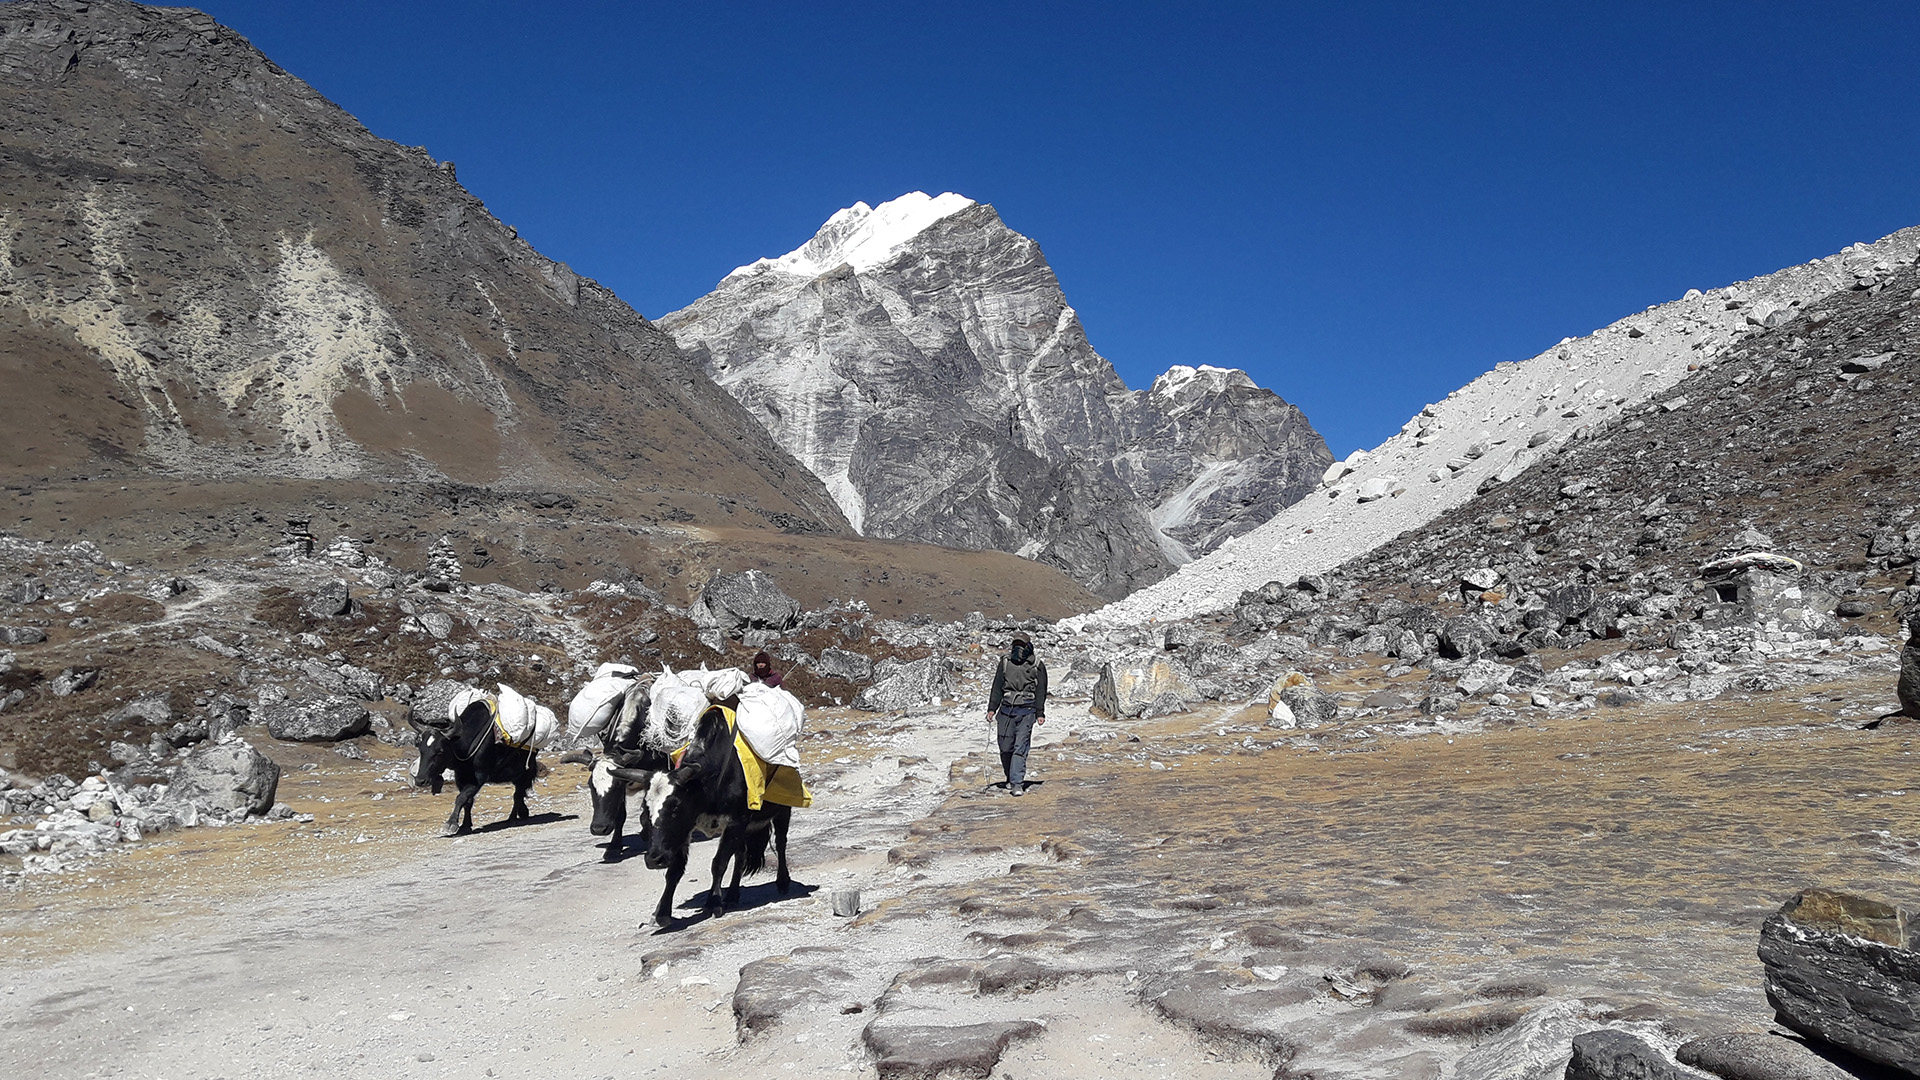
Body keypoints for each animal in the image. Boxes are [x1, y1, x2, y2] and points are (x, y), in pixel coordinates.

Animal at [410, 697, 540, 837]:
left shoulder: (479, 778)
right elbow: (468, 801)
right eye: (421, 749)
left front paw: (451, 824)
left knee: (517, 794)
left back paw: (512, 819)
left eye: (440, 751)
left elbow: (461, 798)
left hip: (525, 771)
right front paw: (465, 826)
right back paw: (522, 813)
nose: (420, 780)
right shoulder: (461, 778)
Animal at [611, 703, 792, 926]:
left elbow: (719, 863)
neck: (704, 786)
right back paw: (732, 895)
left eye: (675, 807)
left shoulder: (735, 822)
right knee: (741, 855)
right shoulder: (688, 829)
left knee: (781, 843)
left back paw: (782, 883)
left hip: (783, 810)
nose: (655, 859)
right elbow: (674, 871)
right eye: (645, 813)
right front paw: (661, 913)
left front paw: (713, 903)